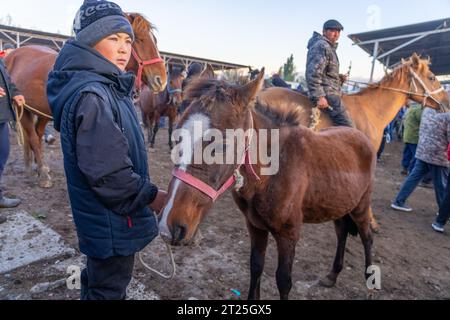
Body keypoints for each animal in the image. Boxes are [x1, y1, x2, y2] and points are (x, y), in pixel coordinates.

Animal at [4, 12, 167, 188]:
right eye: (139, 39)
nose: (162, 80)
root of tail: (13, 55)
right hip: (23, 107)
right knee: (33, 138)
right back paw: (40, 172)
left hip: (39, 111)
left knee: (37, 135)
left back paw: (37, 166)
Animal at [158, 70, 376, 300]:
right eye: (177, 135)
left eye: (221, 145)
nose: (168, 226)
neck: (273, 174)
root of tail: (361, 136)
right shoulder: (255, 226)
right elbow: (256, 266)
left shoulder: (289, 234)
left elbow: (284, 280)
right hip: (339, 204)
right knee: (342, 232)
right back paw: (332, 275)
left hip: (361, 206)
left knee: (367, 237)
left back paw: (370, 281)